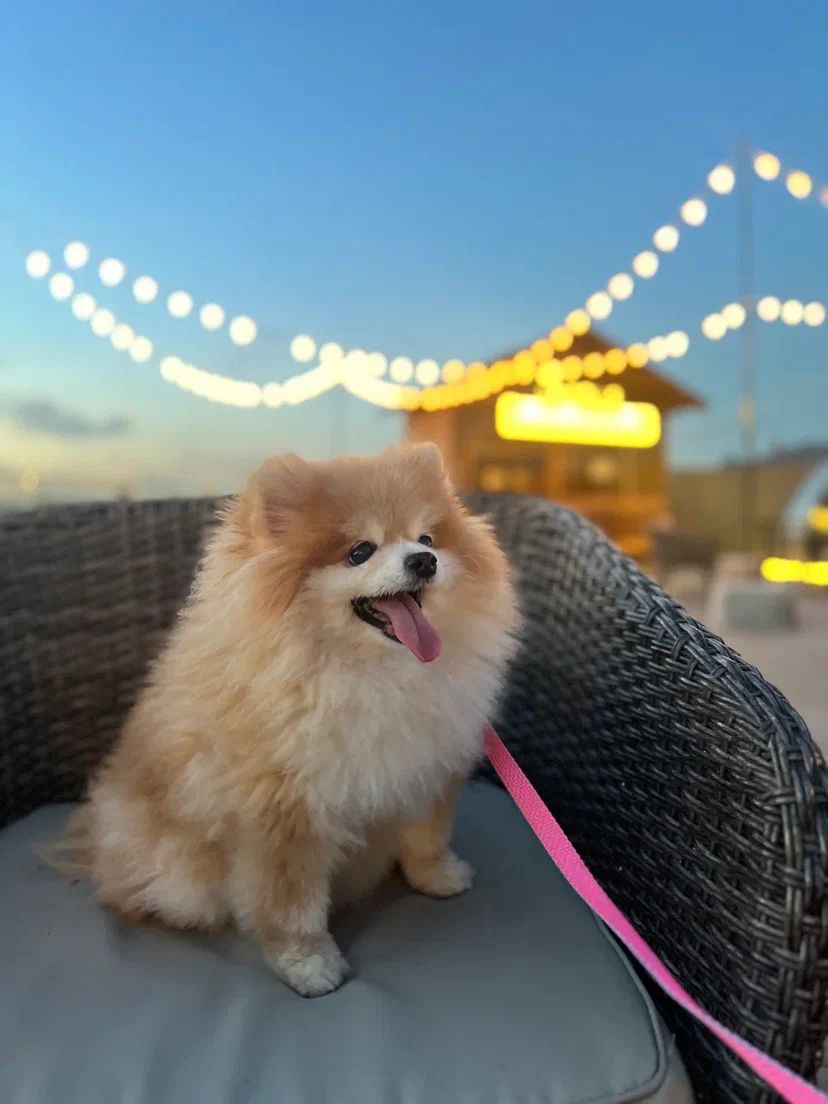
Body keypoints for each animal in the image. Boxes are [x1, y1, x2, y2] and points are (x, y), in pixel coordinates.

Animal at [67, 443, 519, 996]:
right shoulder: (286, 810)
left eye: (427, 538)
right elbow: (291, 903)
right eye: (360, 551)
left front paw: (437, 876)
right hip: (176, 871)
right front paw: (308, 962)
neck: (371, 673)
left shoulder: (428, 766)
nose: (423, 560)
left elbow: (426, 835)